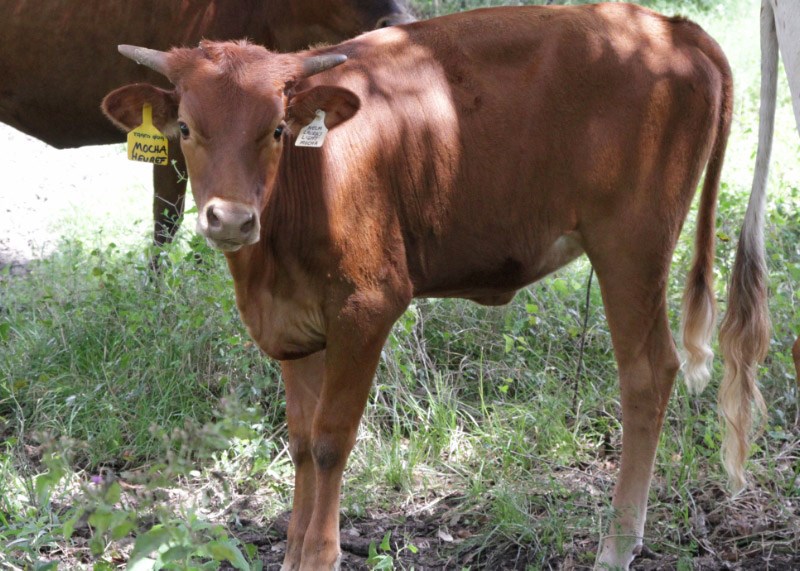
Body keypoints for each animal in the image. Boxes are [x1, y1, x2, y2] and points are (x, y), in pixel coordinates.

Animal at [101, 3, 749, 569]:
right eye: (187, 128)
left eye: (278, 128)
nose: (231, 220)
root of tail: (670, 26)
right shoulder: (292, 324)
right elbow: (301, 441)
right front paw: (292, 554)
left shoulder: (368, 306)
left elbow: (332, 439)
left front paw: (321, 555)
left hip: (631, 245)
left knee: (647, 372)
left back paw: (616, 545)